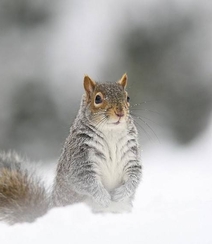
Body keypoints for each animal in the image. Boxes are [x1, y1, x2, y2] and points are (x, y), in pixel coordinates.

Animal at [0, 74, 142, 225]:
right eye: (98, 98)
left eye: (127, 97)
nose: (120, 112)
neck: (111, 131)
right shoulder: (79, 159)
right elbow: (84, 180)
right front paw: (103, 197)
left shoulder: (131, 156)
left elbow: (135, 175)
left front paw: (122, 193)